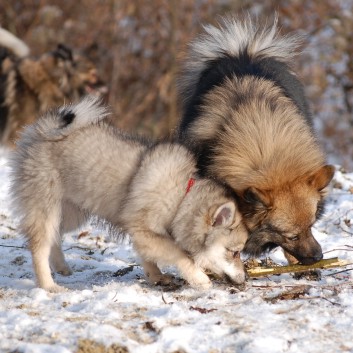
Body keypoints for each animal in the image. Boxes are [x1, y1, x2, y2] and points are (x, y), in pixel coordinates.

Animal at [11, 96, 248, 292]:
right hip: (46, 205)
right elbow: (178, 253)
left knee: (55, 236)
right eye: (234, 252)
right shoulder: (144, 231)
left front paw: (156, 276)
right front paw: (199, 278)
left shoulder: (145, 235)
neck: (182, 197)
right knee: (39, 245)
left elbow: (149, 257)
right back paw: (48, 285)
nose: (244, 279)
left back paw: (61, 266)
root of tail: (41, 130)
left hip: (70, 213)